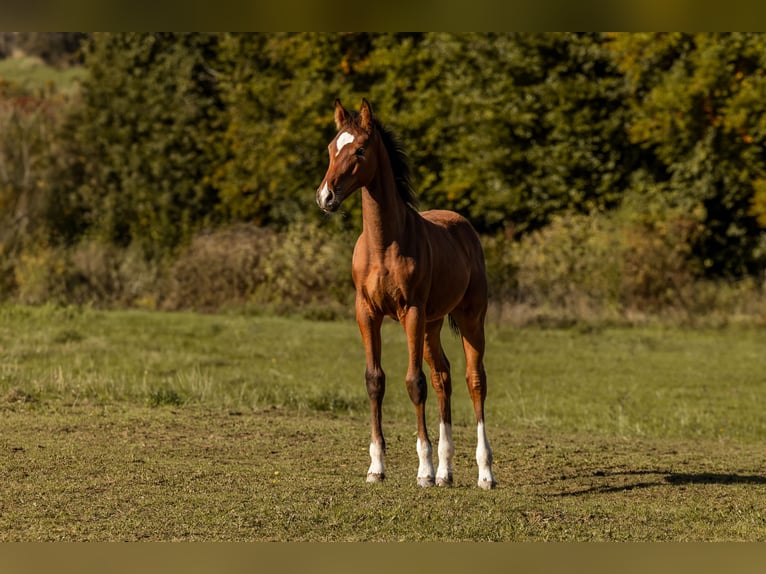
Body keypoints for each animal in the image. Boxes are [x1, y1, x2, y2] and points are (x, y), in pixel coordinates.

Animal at [316, 98, 496, 490]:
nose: (326, 196)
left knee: (474, 380)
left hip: (469, 317)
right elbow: (375, 380)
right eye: (331, 148)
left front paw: (424, 470)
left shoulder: (410, 311)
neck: (384, 244)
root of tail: (464, 227)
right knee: (443, 377)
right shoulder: (366, 313)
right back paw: (446, 472)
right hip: (432, 324)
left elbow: (415, 383)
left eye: (360, 149)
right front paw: (377, 467)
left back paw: (485, 473)